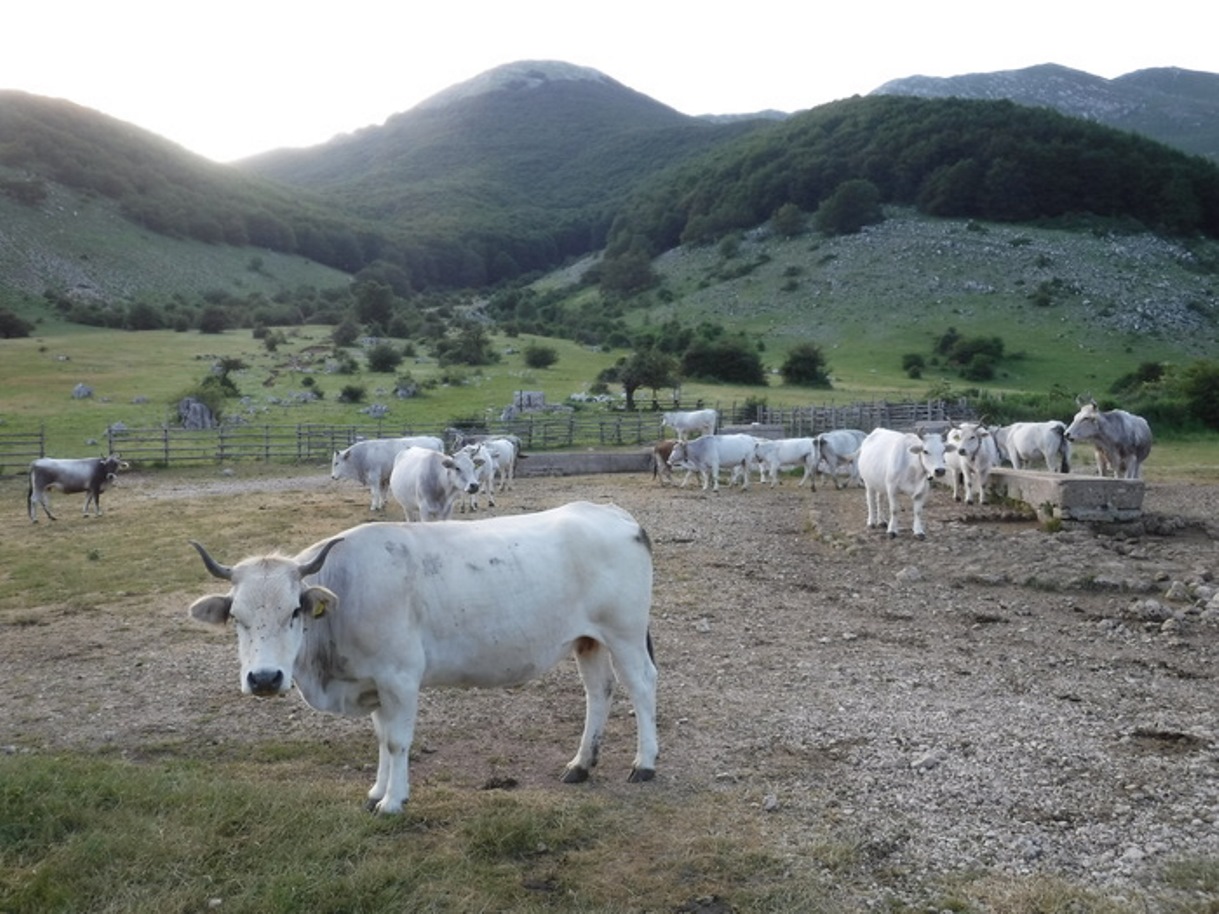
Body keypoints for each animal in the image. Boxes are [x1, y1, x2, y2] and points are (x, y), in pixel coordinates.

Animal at [186, 501, 659, 814]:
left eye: (295, 611)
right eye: (237, 617)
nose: (265, 678)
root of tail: (610, 512)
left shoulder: (399, 678)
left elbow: (397, 740)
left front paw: (393, 801)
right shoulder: (374, 684)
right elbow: (381, 738)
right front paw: (376, 791)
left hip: (626, 633)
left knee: (641, 686)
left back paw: (645, 763)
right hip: (588, 639)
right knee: (599, 691)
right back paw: (582, 764)